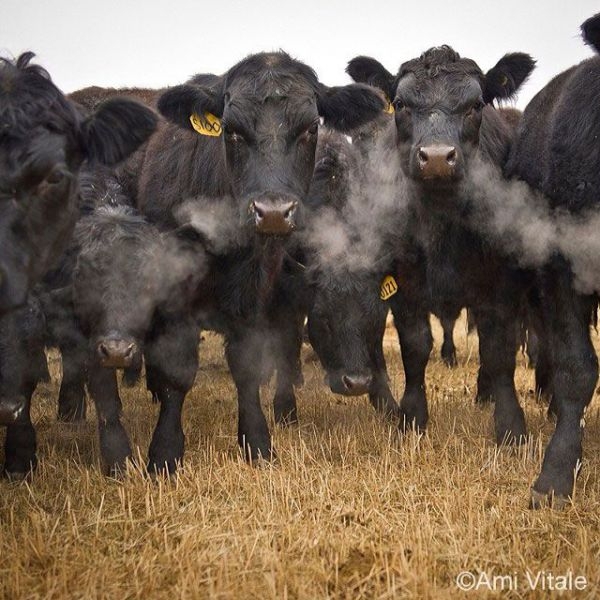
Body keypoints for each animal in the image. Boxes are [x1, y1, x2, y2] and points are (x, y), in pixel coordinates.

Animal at [136, 52, 384, 464]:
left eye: (310, 129)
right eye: (232, 130)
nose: (272, 212)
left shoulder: (255, 296)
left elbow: (249, 365)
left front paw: (257, 442)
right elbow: (178, 370)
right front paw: (165, 451)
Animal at [344, 47, 536, 440]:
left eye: (476, 104)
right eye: (401, 103)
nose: (435, 158)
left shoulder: (502, 286)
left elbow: (499, 349)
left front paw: (511, 425)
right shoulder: (403, 285)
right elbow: (416, 346)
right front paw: (412, 417)